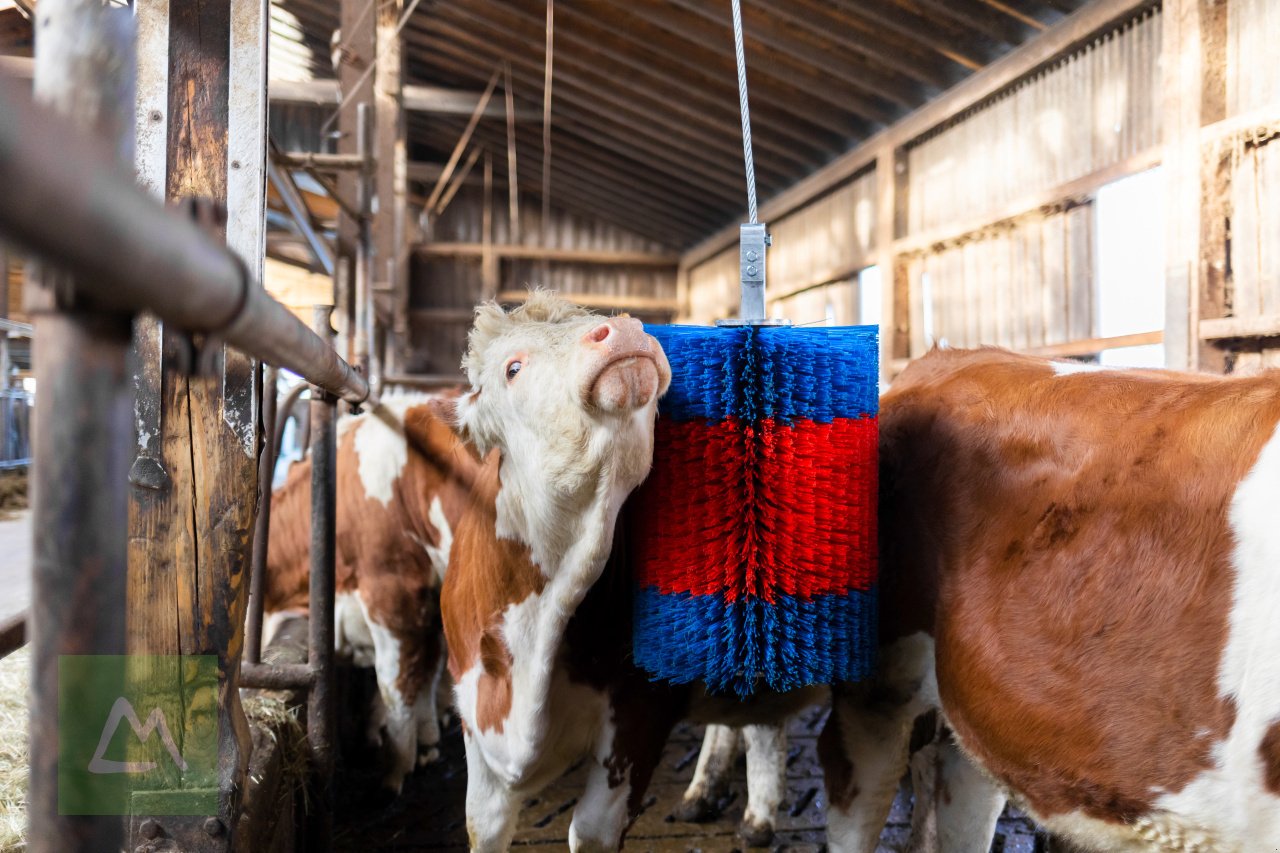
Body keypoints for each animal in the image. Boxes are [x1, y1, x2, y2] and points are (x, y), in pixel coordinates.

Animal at [263, 389, 481, 788]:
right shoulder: (427, 597)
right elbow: (428, 666)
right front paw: (426, 742)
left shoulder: (393, 593)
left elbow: (396, 683)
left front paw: (394, 769)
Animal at [437, 289, 819, 845]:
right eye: (513, 367)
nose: (623, 330)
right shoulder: (476, 716)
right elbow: (482, 826)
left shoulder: (639, 715)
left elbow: (590, 828)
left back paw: (757, 815)